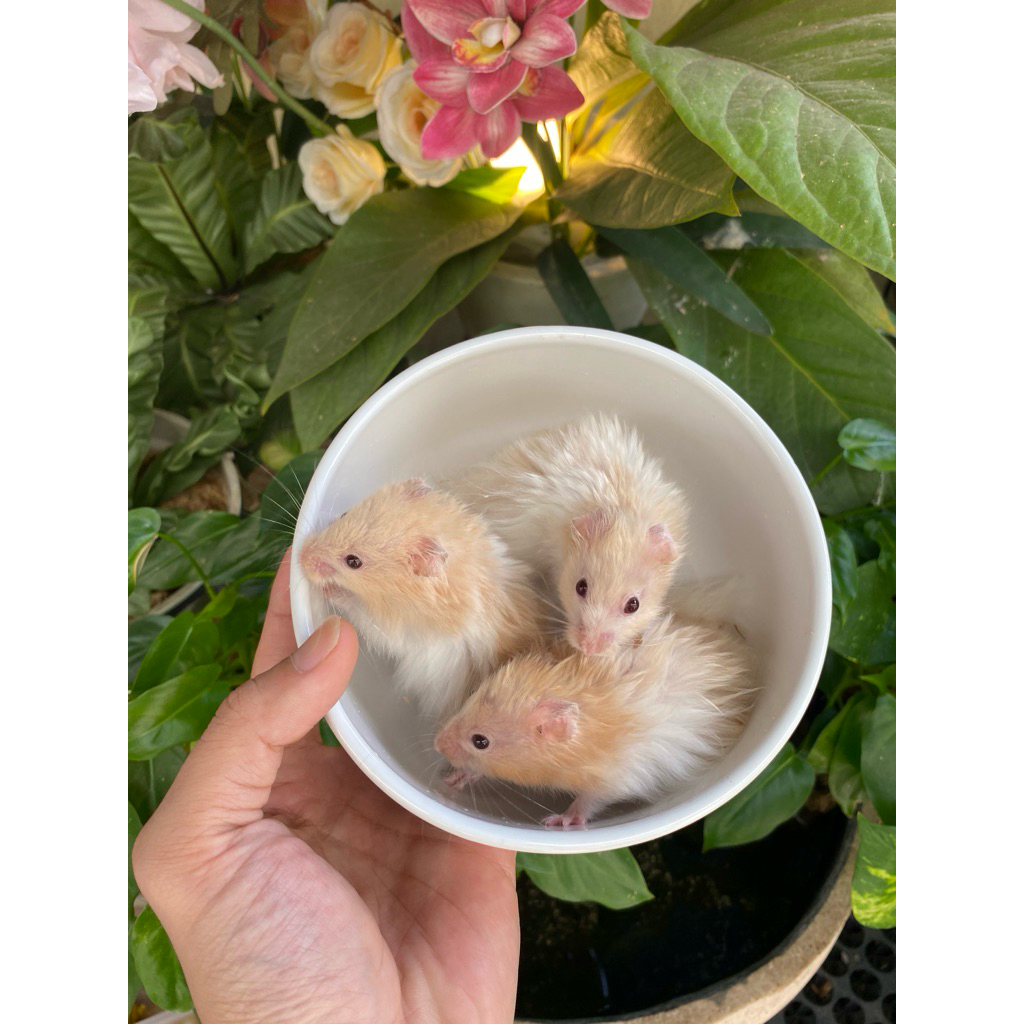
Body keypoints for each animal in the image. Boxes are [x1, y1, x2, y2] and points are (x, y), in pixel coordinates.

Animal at [298, 478, 548, 722]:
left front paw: (329, 591)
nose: (301, 556)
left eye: (353, 561)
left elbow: (358, 610)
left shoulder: (394, 629)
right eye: (343, 515)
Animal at [433, 613, 756, 828]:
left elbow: (588, 801)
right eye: (471, 696)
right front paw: (453, 778)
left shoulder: (618, 779)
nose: (436, 744)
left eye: (480, 741)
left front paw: (558, 820)